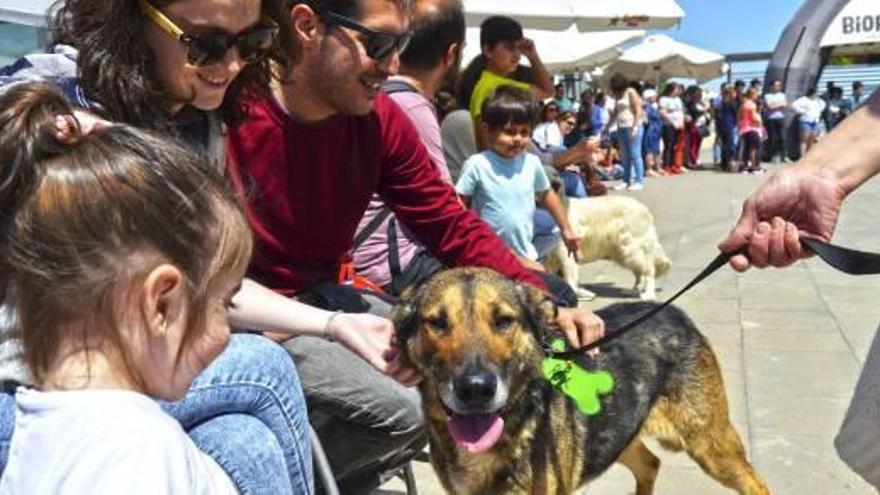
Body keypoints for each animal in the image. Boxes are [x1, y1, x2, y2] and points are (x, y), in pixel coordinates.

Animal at [394, 270, 768, 494]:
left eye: (503, 321)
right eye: (436, 323)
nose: (476, 389)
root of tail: (672, 311)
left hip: (710, 443)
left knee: (756, 483)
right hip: (617, 435)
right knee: (650, 464)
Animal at [544, 196, 672, 300]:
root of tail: (644, 209)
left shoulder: (566, 252)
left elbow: (569, 278)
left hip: (632, 247)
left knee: (648, 270)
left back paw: (648, 294)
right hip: (624, 252)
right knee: (639, 271)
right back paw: (633, 290)